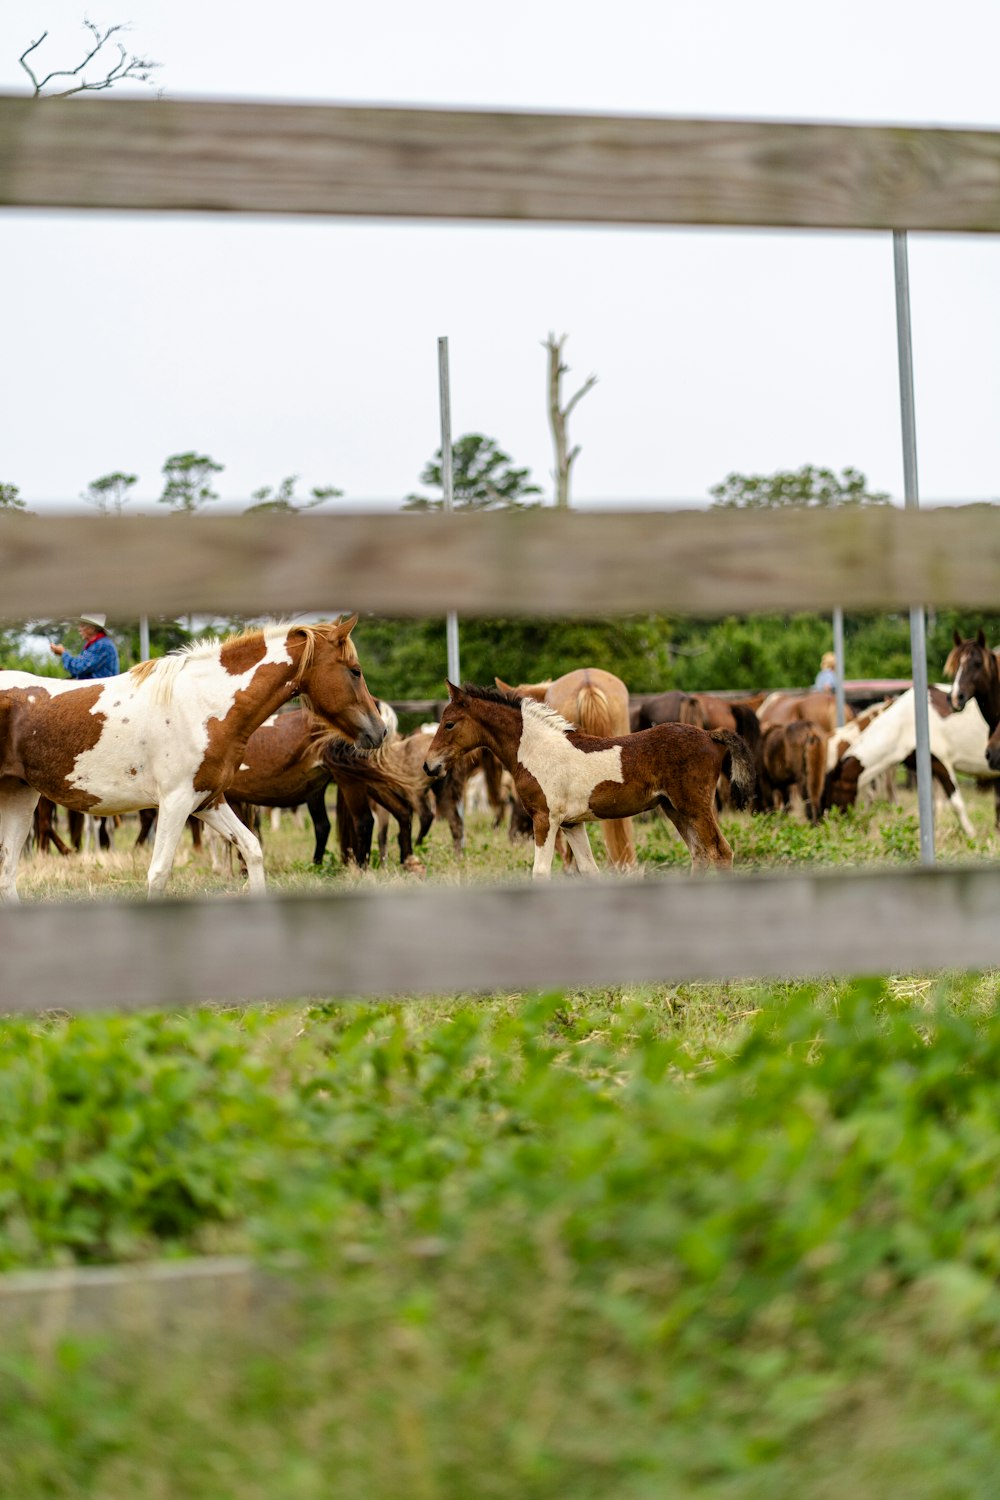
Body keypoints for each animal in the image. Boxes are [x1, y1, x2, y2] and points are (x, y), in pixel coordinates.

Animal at [0, 612, 386, 894]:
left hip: (22, 799)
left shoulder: (208, 801)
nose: (379, 731)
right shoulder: (175, 803)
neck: (202, 705)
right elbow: (158, 873)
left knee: (8, 875)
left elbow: (252, 850)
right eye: (355, 671)